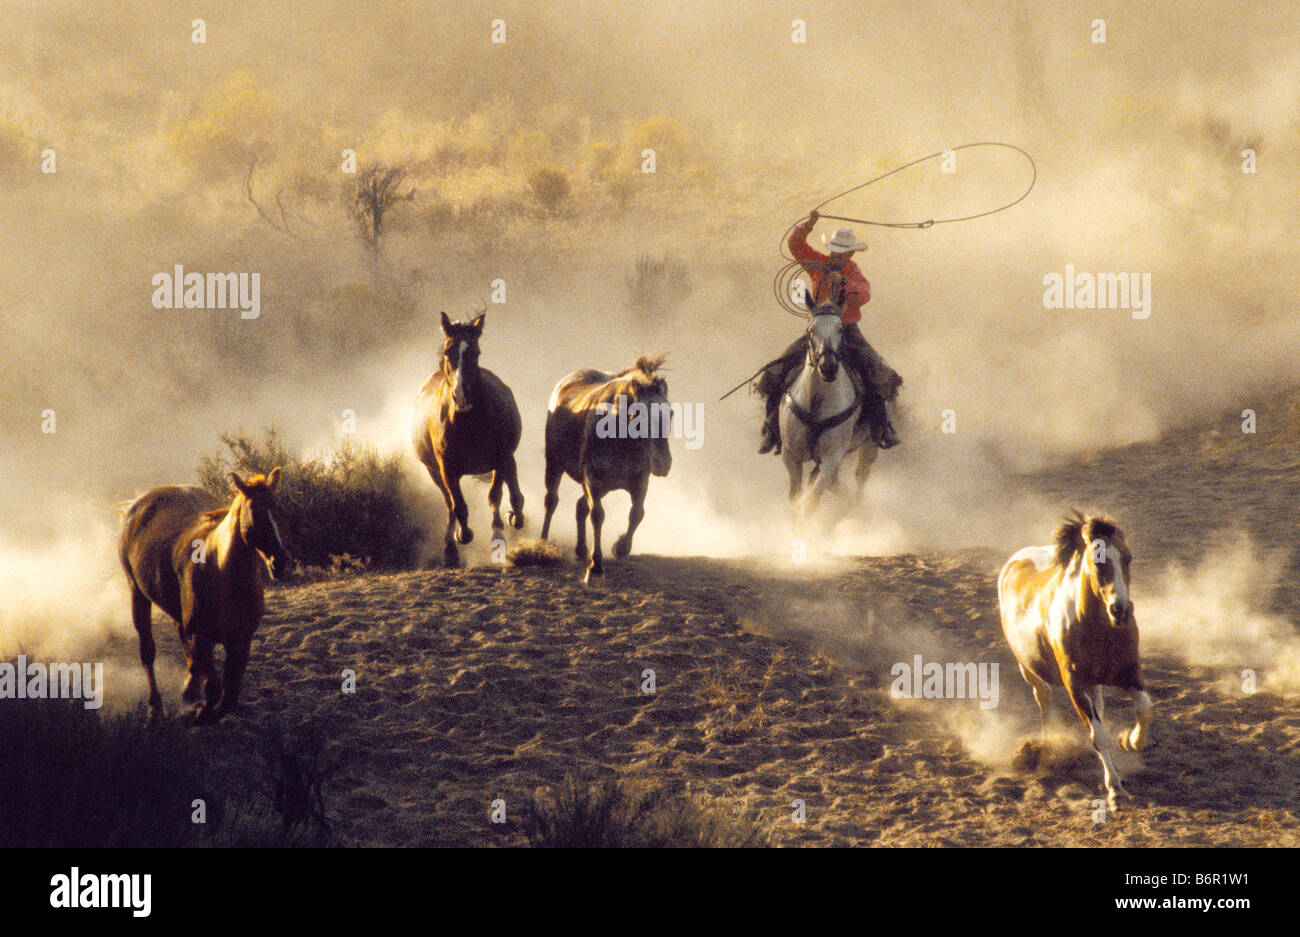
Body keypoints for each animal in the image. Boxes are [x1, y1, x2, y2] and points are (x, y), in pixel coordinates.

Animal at [118, 470, 292, 724]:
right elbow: (214, 688)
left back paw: (190, 688)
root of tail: (135, 507)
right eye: (255, 512)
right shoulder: (201, 638)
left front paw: (205, 711)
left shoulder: (241, 641)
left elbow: (229, 695)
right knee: (148, 652)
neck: (221, 574)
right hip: (137, 594)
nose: (281, 563)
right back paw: (155, 708)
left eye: (279, 510)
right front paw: (202, 713)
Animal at [411, 311, 525, 566]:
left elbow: (501, 496)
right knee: (449, 504)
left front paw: (504, 530)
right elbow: (458, 506)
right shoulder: (446, 468)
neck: (468, 419)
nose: (460, 396)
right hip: (434, 472)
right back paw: (450, 550)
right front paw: (462, 535)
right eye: (448, 351)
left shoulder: (502, 458)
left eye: (475, 352)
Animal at [540, 354, 672, 584]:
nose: (663, 463)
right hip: (554, 463)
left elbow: (637, 513)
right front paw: (595, 566)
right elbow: (598, 515)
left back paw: (581, 550)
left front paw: (621, 547)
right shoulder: (592, 479)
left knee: (579, 506)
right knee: (551, 501)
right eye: (638, 414)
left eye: (670, 413)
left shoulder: (639, 481)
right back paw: (543, 544)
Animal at [779, 279, 878, 517]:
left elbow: (812, 500)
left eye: (840, 328)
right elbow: (796, 497)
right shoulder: (790, 455)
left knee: (860, 476)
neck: (816, 403)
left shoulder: (832, 457)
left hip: (869, 446)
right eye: (811, 330)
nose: (829, 367)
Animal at [997, 511, 1153, 810]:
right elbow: (1098, 735)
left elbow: (1143, 708)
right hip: (1028, 668)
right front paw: (1115, 790)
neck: (1098, 627)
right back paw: (1046, 745)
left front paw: (1128, 742)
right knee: (1043, 698)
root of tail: (1017, 559)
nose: (1121, 610)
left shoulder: (1129, 672)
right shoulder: (1076, 687)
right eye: (1097, 560)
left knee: (1100, 707)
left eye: (1127, 557)